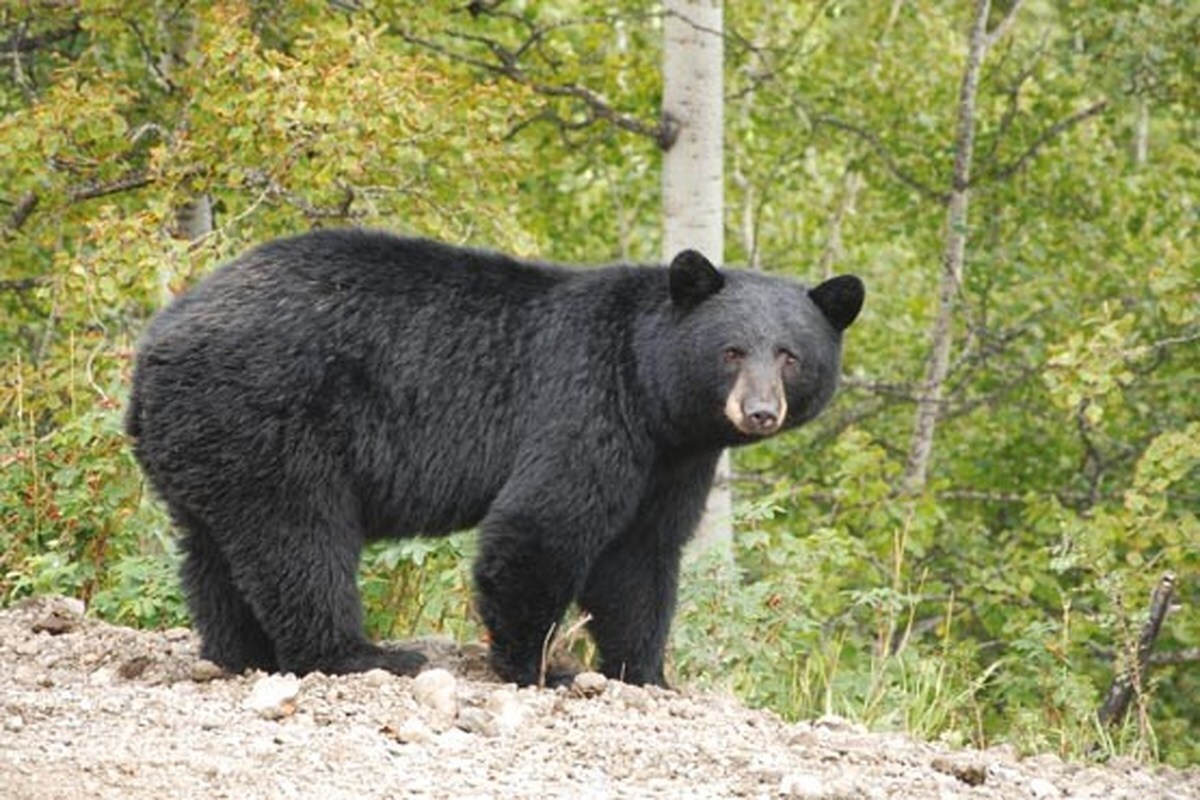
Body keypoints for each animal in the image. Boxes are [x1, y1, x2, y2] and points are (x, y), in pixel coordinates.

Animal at [126, 231, 864, 690]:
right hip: (271, 418)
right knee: (299, 540)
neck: (653, 394)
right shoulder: (587, 404)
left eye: (790, 355)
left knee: (214, 552)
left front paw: (646, 672)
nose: (759, 412)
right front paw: (542, 666)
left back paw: (239, 652)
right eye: (732, 351)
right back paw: (360, 654)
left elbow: (641, 558)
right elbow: (542, 525)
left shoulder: (672, 461)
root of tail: (156, 344)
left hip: (206, 439)